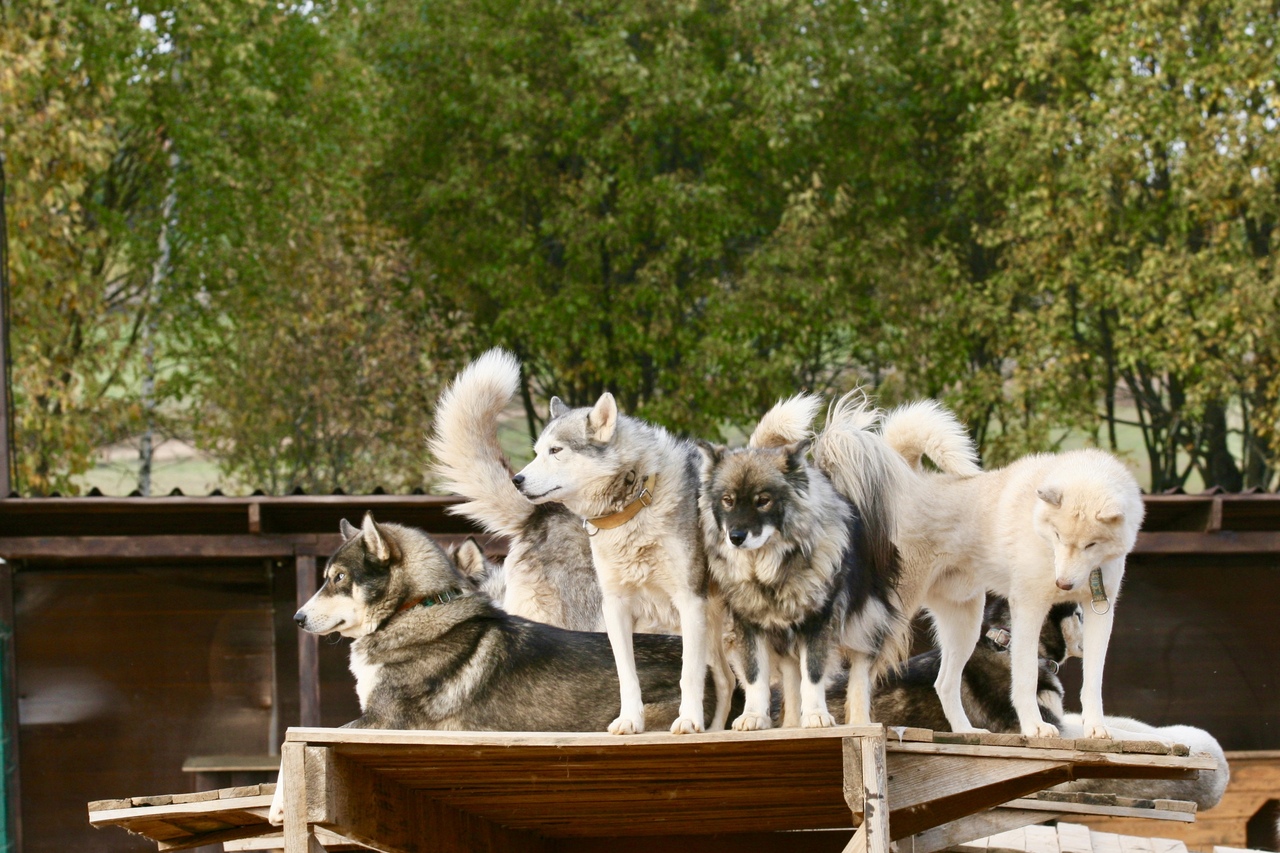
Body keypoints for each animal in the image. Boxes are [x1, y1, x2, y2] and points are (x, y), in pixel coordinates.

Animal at [509, 391, 732, 732]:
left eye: (555, 451)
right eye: (536, 453)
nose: (516, 479)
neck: (636, 502)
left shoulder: (689, 602)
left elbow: (689, 675)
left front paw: (688, 720)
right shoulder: (615, 608)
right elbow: (627, 675)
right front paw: (630, 721)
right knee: (726, 680)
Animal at [696, 394, 906, 727]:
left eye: (763, 500)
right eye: (727, 500)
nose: (735, 537)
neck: (770, 573)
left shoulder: (817, 623)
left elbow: (814, 674)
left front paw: (818, 716)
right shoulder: (750, 626)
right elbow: (756, 676)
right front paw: (754, 717)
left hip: (864, 621)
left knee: (860, 671)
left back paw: (859, 722)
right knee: (791, 680)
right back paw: (792, 723)